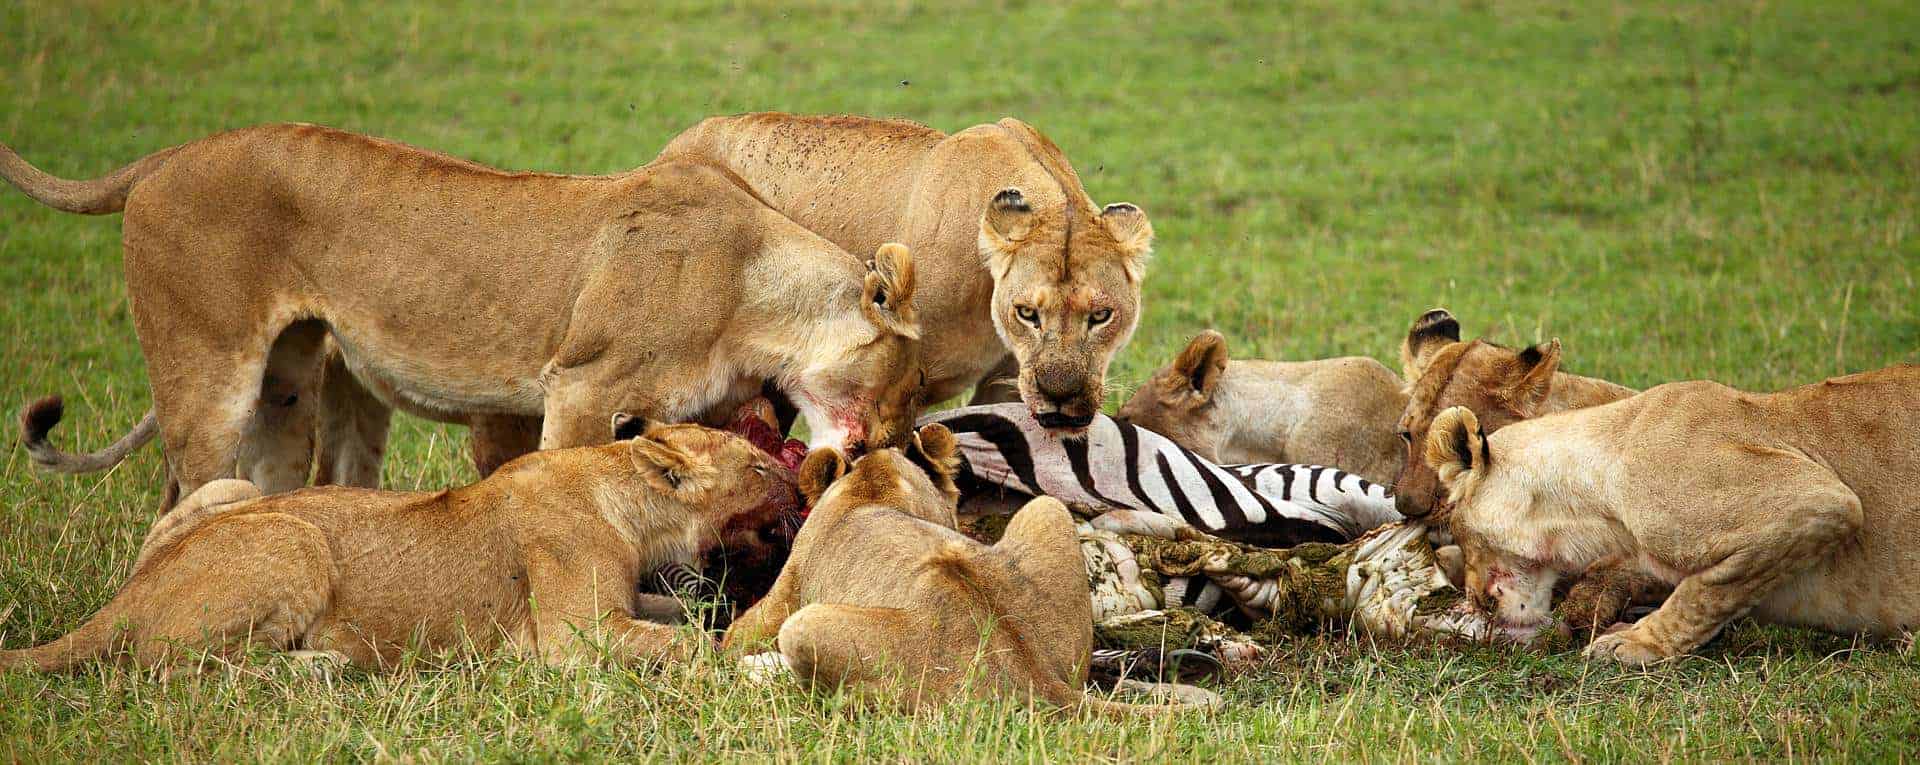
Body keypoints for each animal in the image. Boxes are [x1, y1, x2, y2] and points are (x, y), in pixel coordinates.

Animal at [0, 123, 929, 507]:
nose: (894, 442)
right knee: (183, 493)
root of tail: (164, 156)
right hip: (208, 374)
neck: (756, 293)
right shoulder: (581, 386)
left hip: (289, 383)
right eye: (914, 383)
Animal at [0, 415, 794, 672]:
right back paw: (325, 664)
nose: (794, 479)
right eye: (758, 467)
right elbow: (683, 641)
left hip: (233, 490)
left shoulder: (622, 603)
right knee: (173, 666)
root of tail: (127, 596)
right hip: (294, 540)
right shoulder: (575, 636)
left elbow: (683, 614)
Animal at [656, 111, 1152, 430]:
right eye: (1027, 313)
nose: (1061, 395)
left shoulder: (1009, 382)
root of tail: (673, 145)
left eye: (1102, 316)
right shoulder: (899, 386)